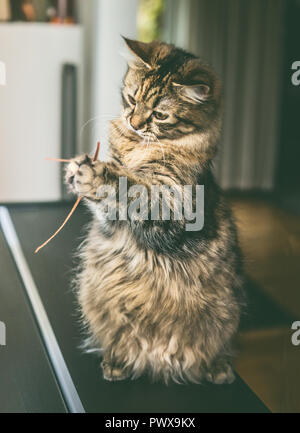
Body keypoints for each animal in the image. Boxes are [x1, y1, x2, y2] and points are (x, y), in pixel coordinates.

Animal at [65, 37, 244, 382]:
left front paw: (96, 174)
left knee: (212, 352)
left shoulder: (171, 209)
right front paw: (76, 172)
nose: (134, 124)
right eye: (132, 99)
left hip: (226, 317)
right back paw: (116, 364)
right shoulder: (110, 221)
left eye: (160, 115)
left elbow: (131, 188)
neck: (137, 148)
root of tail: (161, 364)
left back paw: (218, 370)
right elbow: (108, 201)